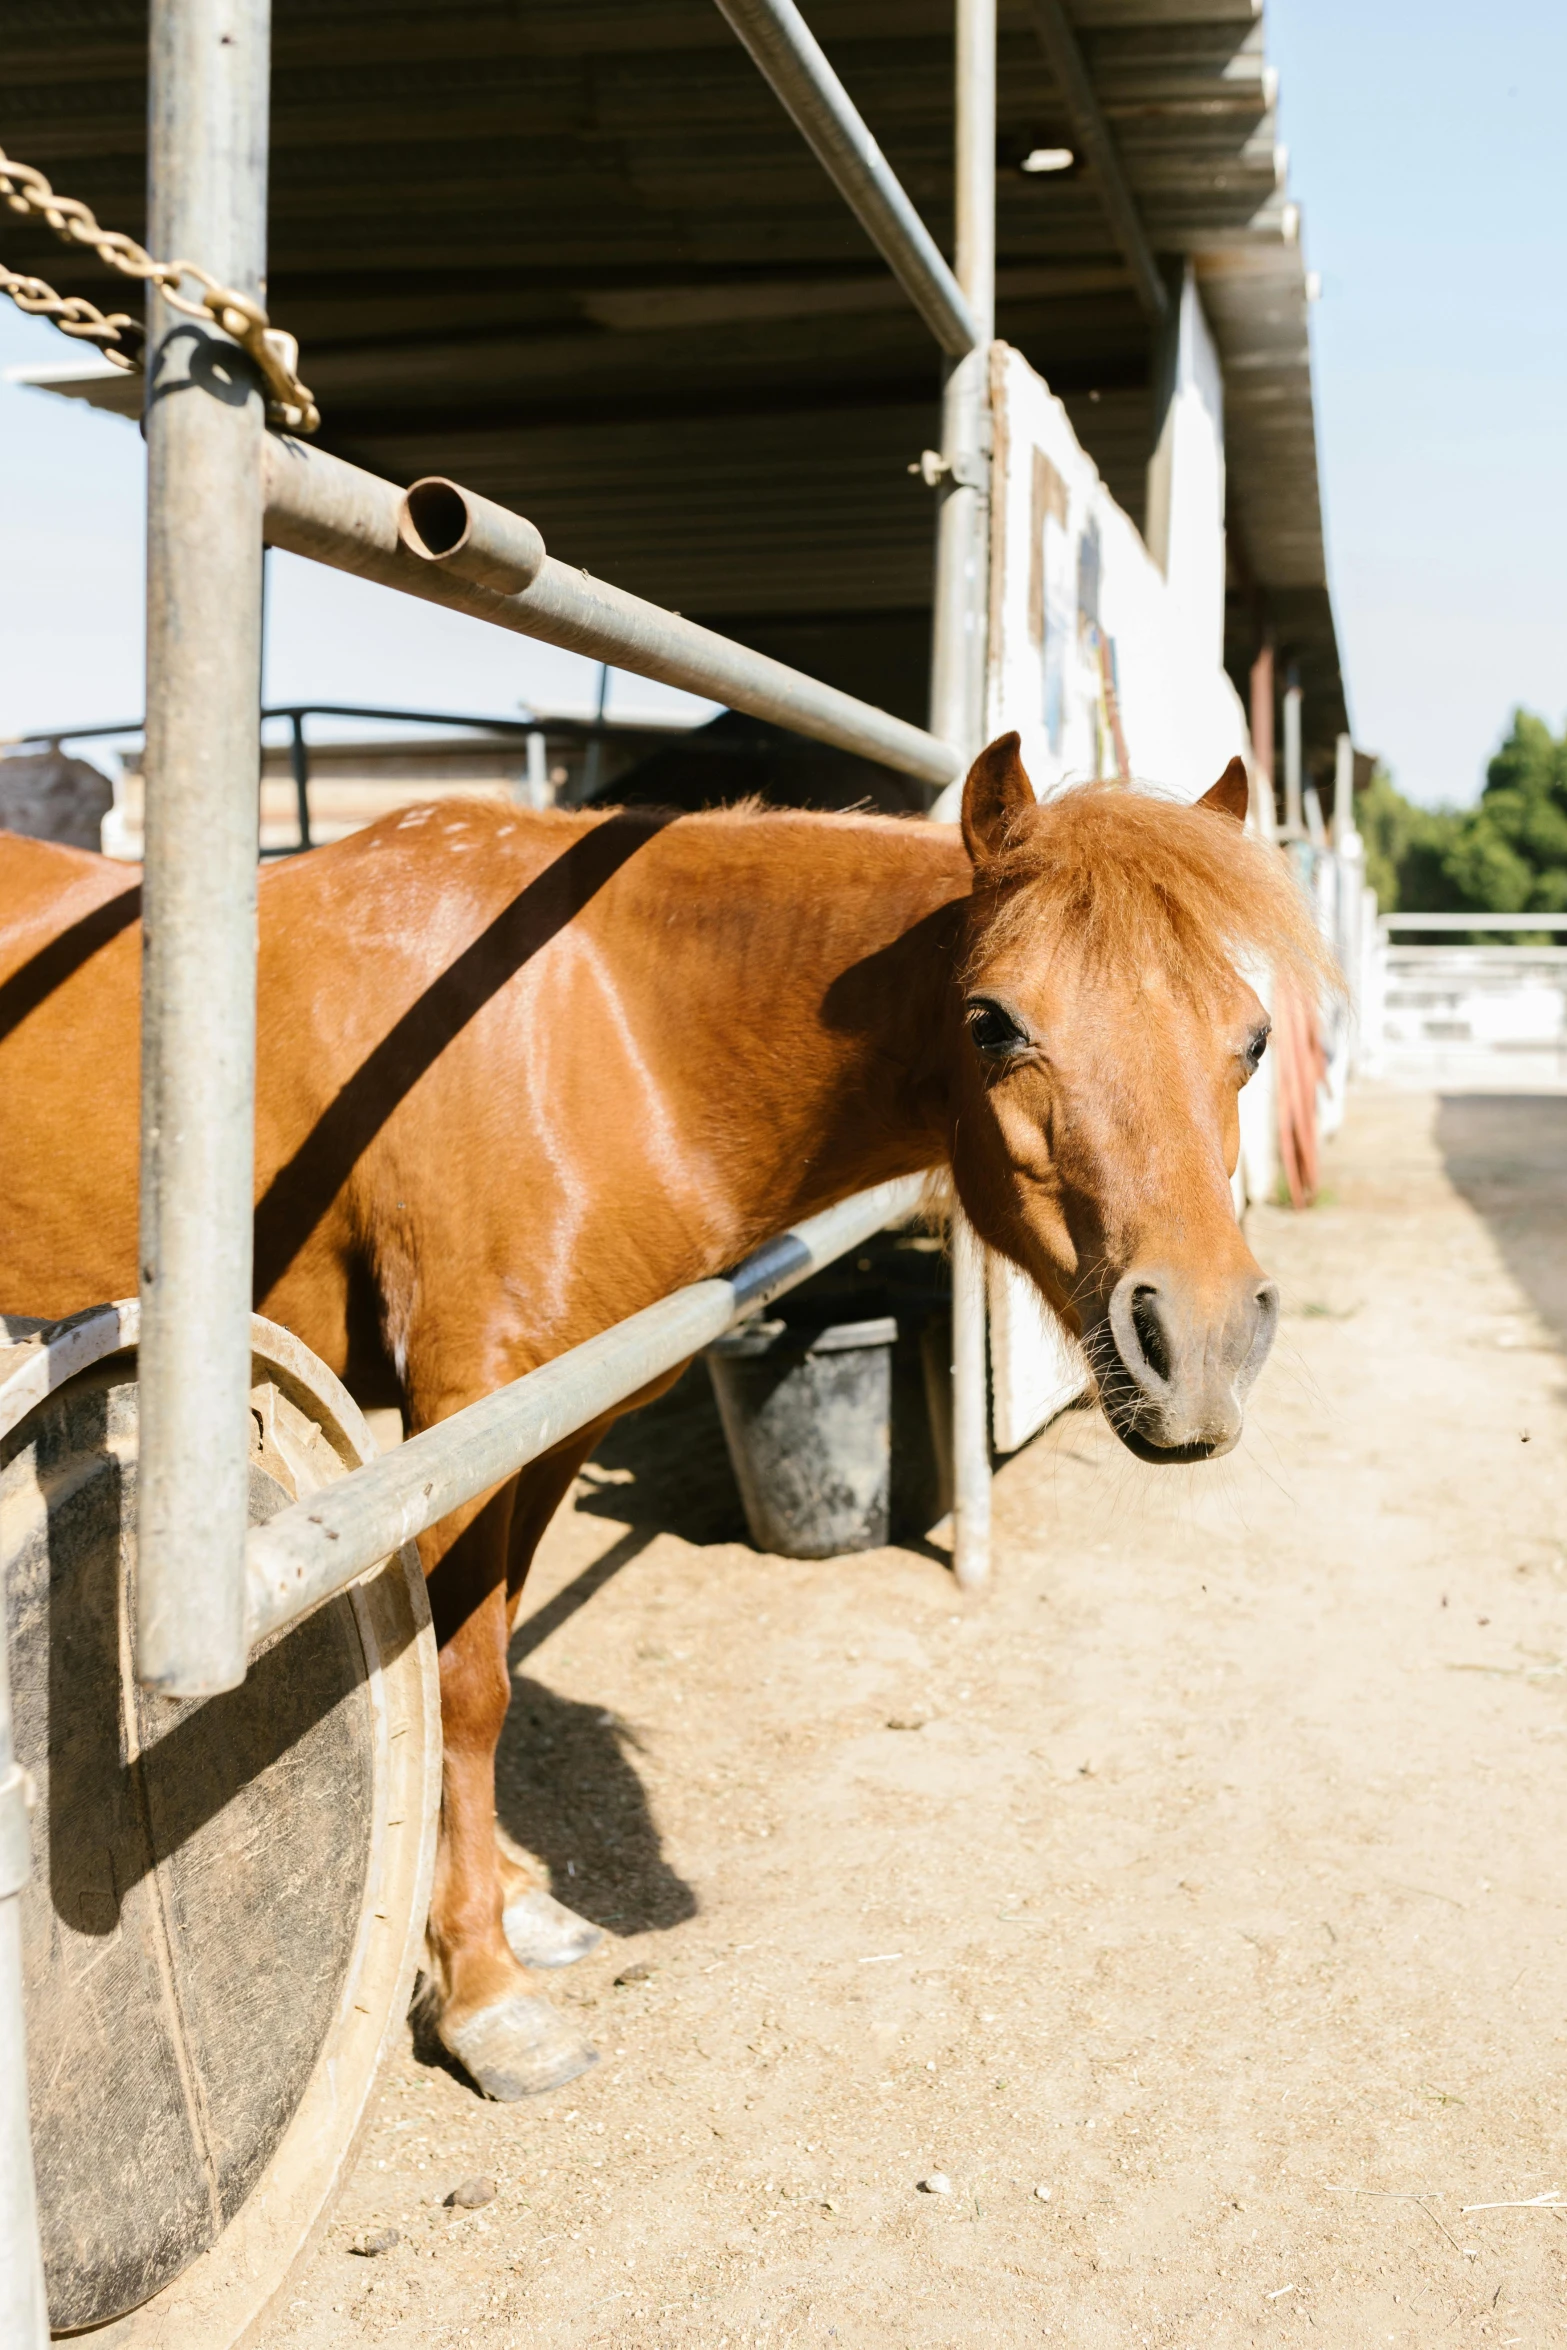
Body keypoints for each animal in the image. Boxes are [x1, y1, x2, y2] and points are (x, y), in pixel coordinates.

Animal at [0, 728, 1325, 2096]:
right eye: (992, 1020)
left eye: (1250, 1038)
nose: (1202, 1346)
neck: (595, 1023)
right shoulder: (460, 1415)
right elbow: (462, 1680)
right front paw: (482, 1990)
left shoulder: (554, 1422)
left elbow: (494, 1665)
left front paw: (504, 1900)